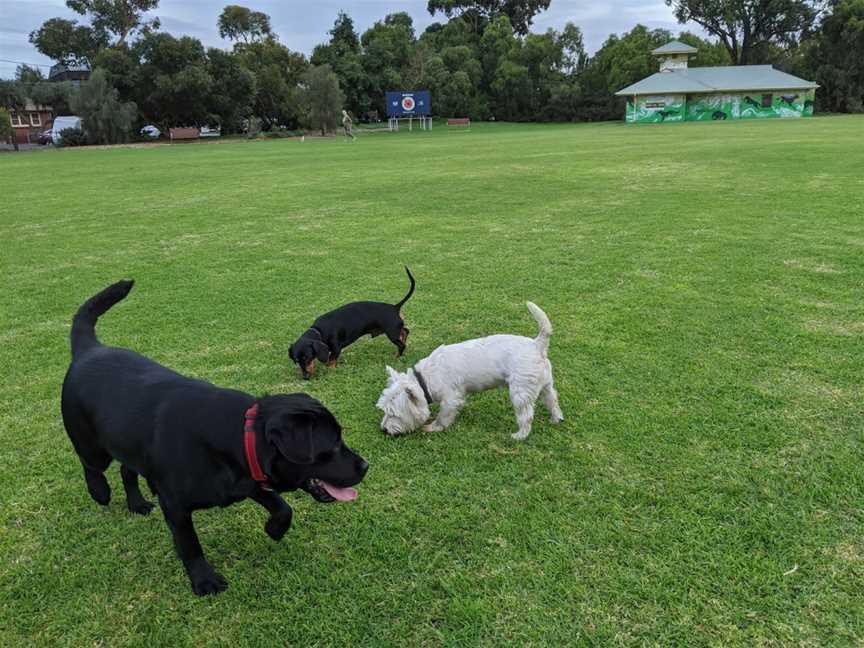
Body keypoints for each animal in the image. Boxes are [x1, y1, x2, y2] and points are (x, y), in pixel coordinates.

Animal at [59, 280, 370, 596]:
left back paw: (137, 503)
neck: (238, 436)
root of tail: (89, 349)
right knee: (91, 464)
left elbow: (283, 507)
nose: (365, 466)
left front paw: (275, 529)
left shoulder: (248, 480)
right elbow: (190, 544)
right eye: (332, 444)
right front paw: (204, 580)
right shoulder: (176, 505)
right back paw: (100, 491)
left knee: (126, 469)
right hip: (91, 442)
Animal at [288, 268, 416, 380]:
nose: (305, 378)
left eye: (307, 358)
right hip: (395, 330)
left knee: (402, 345)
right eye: (297, 360)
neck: (320, 330)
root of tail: (395, 307)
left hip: (392, 333)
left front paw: (330, 370)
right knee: (405, 331)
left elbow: (331, 360)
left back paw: (396, 357)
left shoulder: (336, 348)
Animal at [376, 304, 564, 440]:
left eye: (393, 413)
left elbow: (444, 415)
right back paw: (556, 419)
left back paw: (519, 435)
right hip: (544, 383)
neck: (425, 380)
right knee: (552, 399)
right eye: (384, 410)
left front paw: (434, 427)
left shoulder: (452, 398)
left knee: (526, 415)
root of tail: (537, 344)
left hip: (520, 390)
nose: (383, 430)